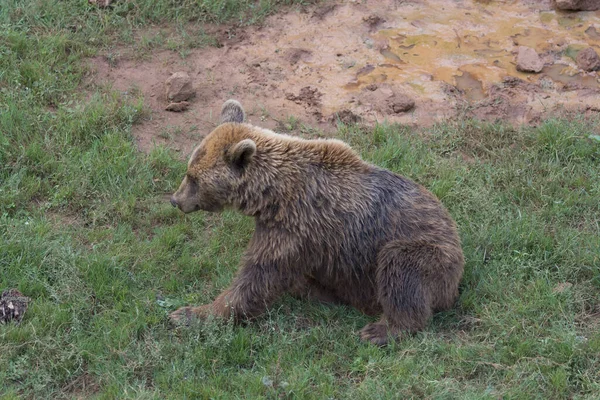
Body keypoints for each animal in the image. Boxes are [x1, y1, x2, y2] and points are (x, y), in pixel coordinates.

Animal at [169, 99, 464, 344]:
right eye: (188, 171)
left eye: (193, 178)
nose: (175, 199)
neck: (271, 196)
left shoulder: (294, 226)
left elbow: (256, 276)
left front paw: (191, 314)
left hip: (428, 253)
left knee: (400, 269)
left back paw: (381, 330)